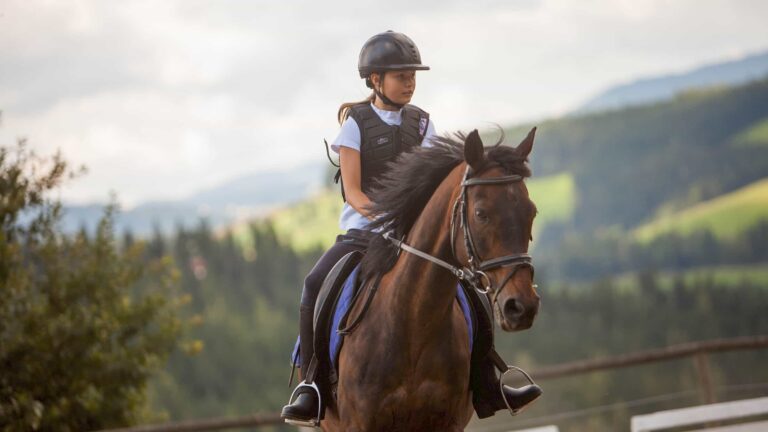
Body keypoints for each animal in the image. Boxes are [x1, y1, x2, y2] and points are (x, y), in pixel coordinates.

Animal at [321, 128, 540, 431]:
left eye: (532, 212)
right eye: (481, 213)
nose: (522, 307)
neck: (414, 322)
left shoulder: (447, 422)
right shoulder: (359, 424)